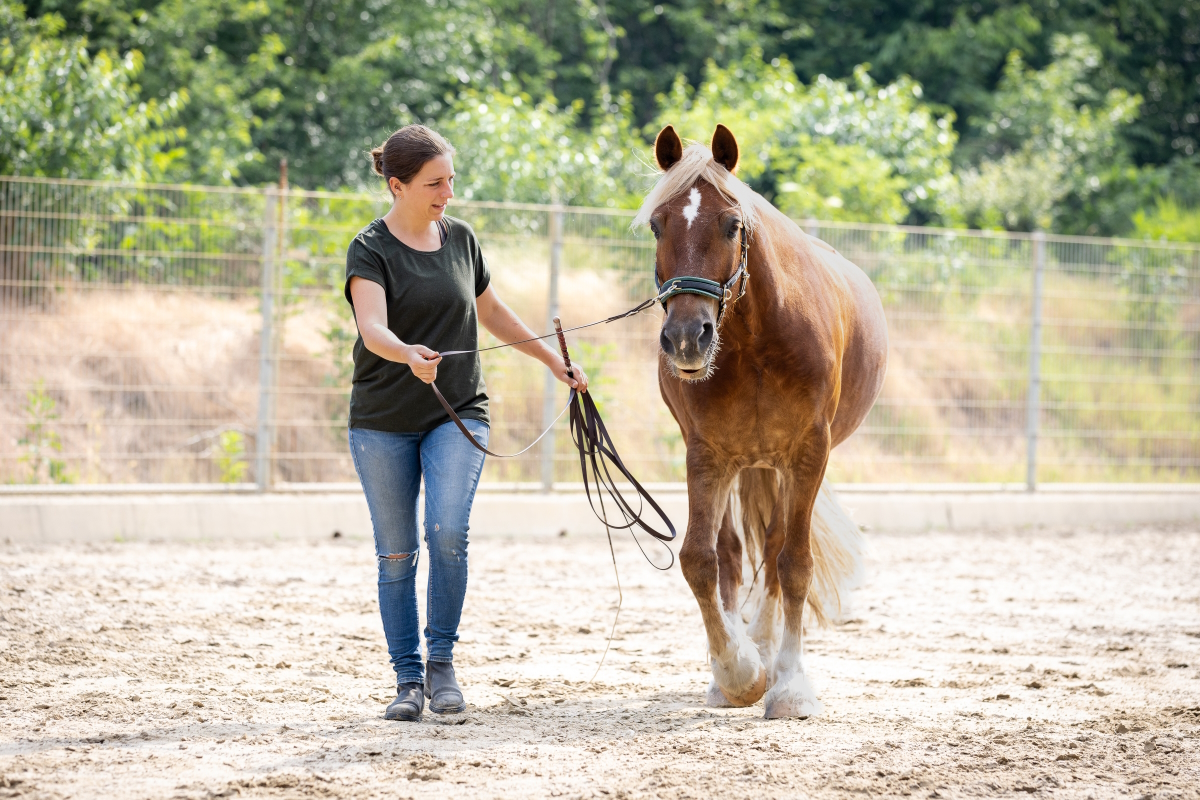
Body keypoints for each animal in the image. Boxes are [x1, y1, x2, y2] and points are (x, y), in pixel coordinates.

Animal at [634, 124, 888, 719]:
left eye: (732, 225)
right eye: (658, 224)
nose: (687, 338)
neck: (754, 341)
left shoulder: (808, 454)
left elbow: (792, 562)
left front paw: (789, 682)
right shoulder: (706, 454)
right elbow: (701, 559)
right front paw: (737, 673)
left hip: (781, 467)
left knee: (774, 552)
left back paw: (769, 648)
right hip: (745, 465)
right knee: (733, 554)